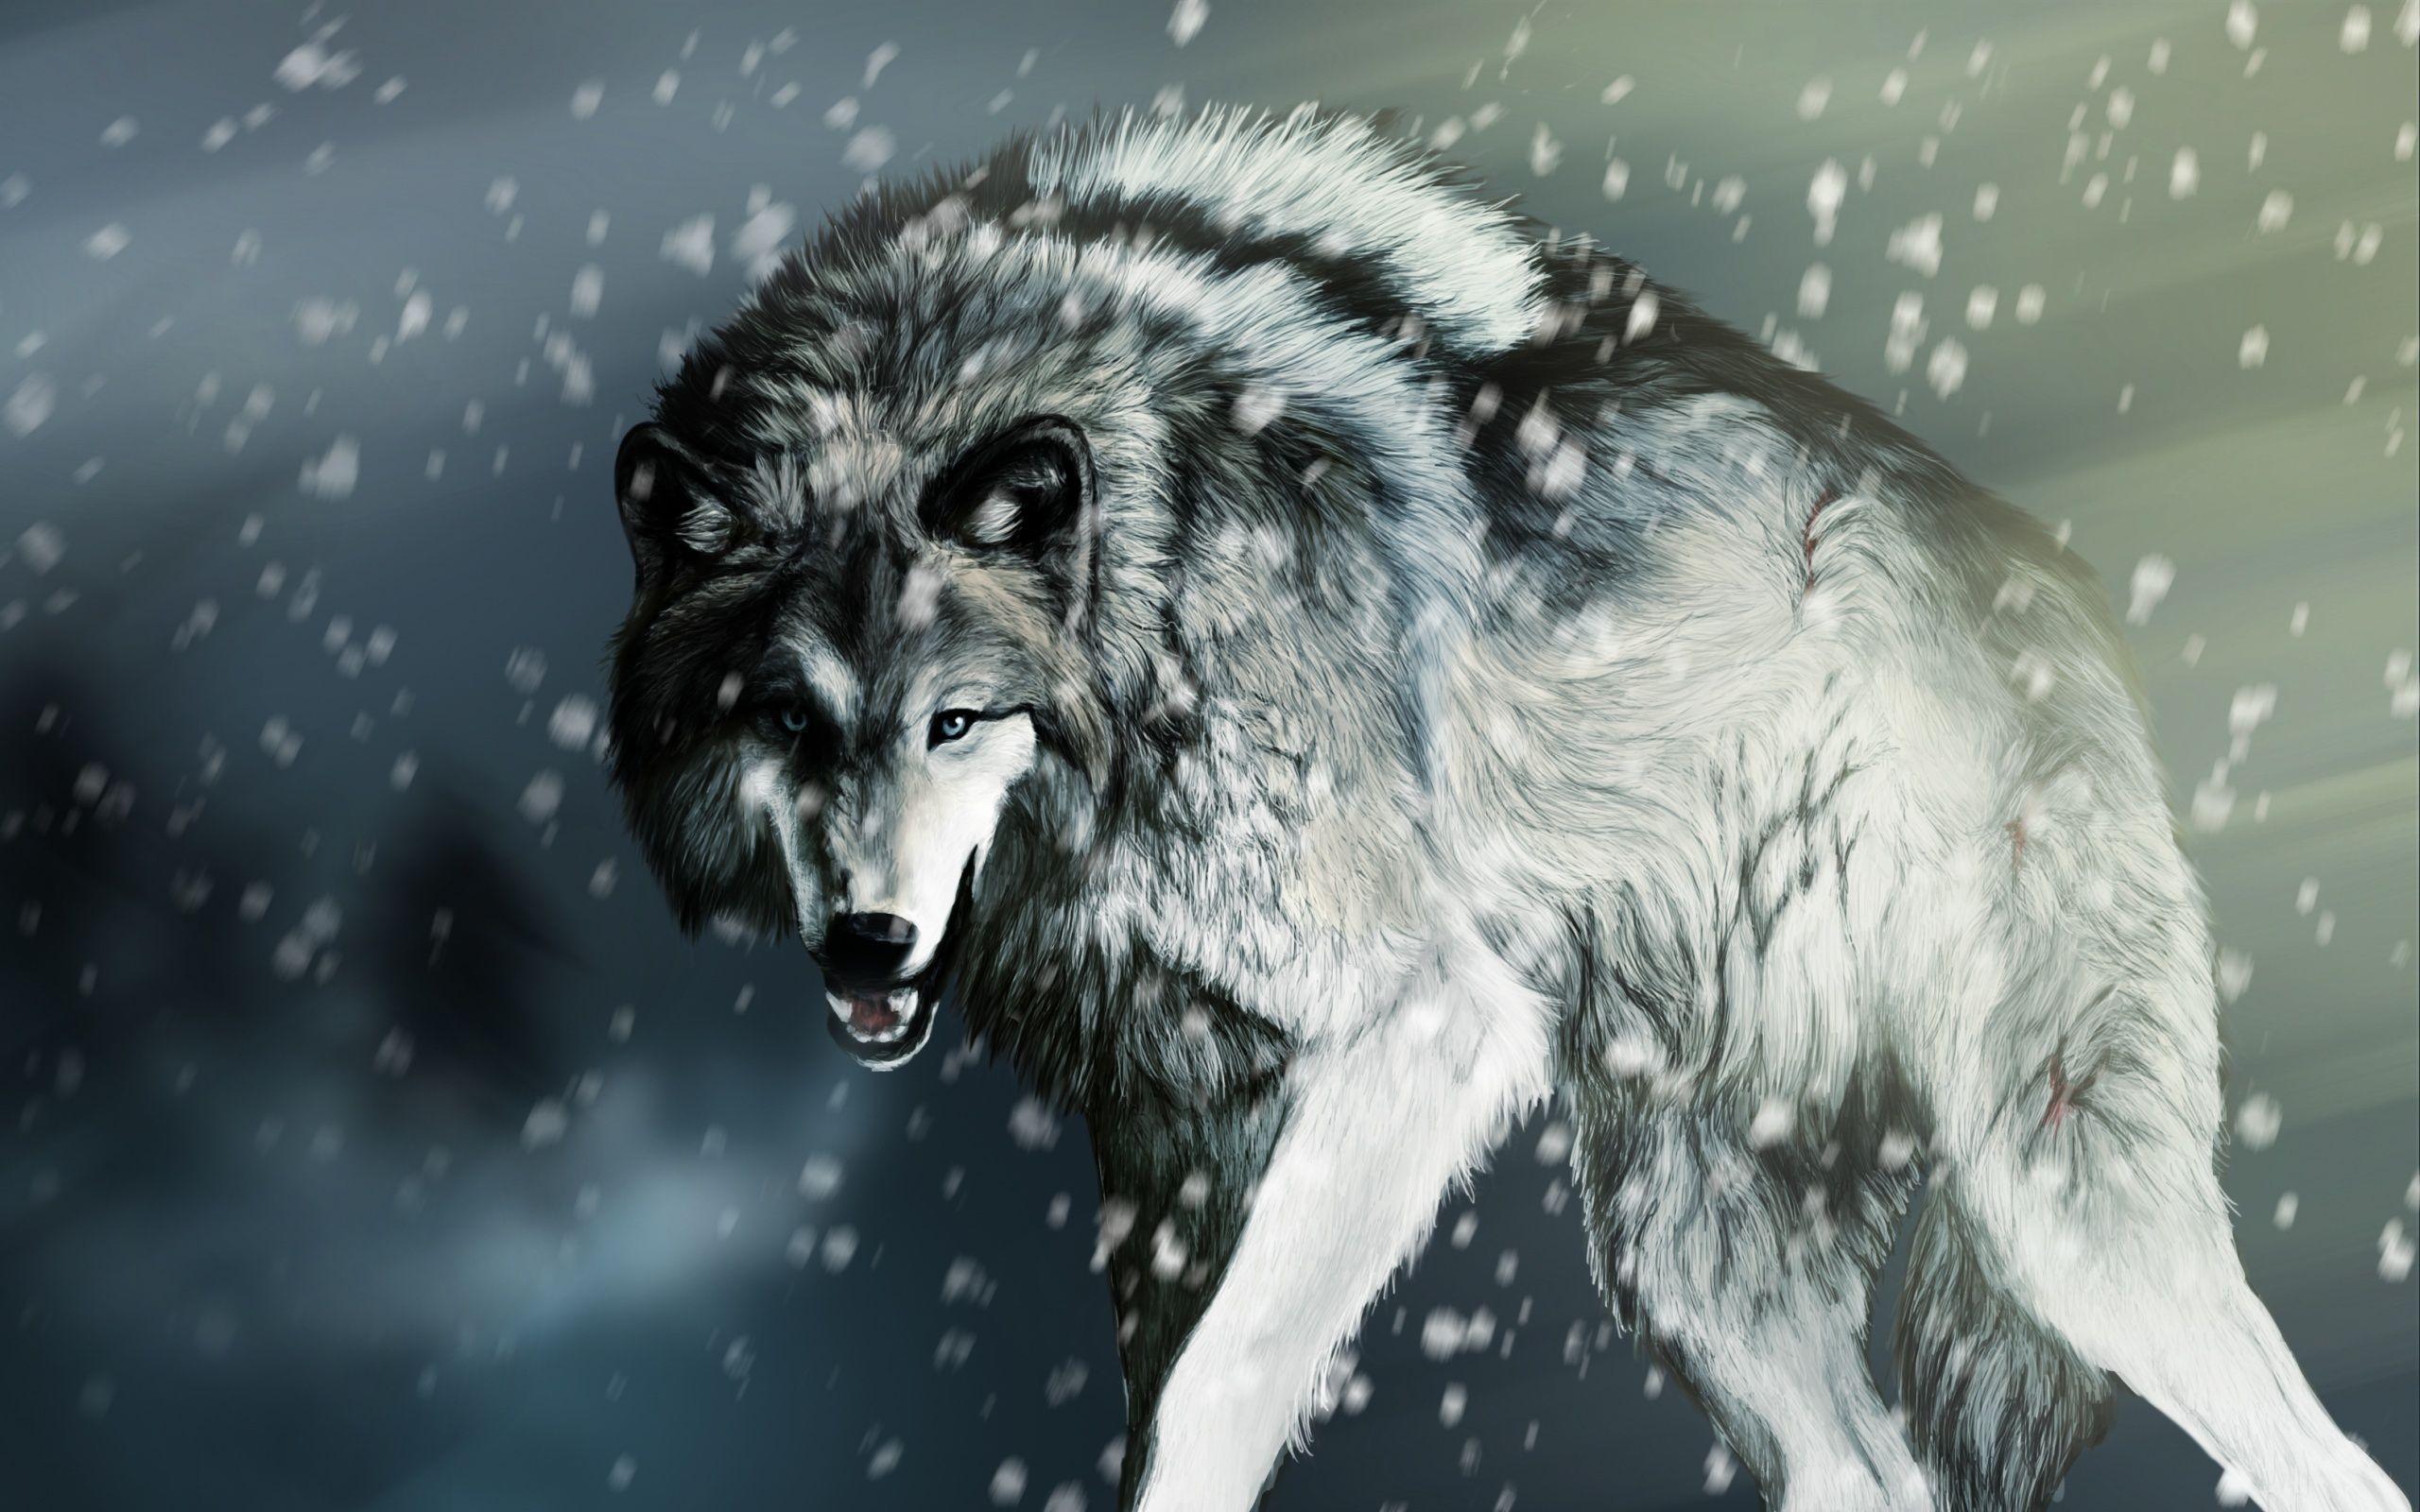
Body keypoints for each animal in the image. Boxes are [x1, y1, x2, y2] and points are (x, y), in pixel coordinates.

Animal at [602, 106, 2407, 1511]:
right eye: (788, 719)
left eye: (957, 720)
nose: (867, 941)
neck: (1154, 591)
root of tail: (2060, 586)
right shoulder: (1171, 1140)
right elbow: (1164, 1401)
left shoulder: (1423, 1028)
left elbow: (1222, 1387)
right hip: (1691, 1261)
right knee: (1868, 1468)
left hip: (2057, 1212)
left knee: (2328, 1460)